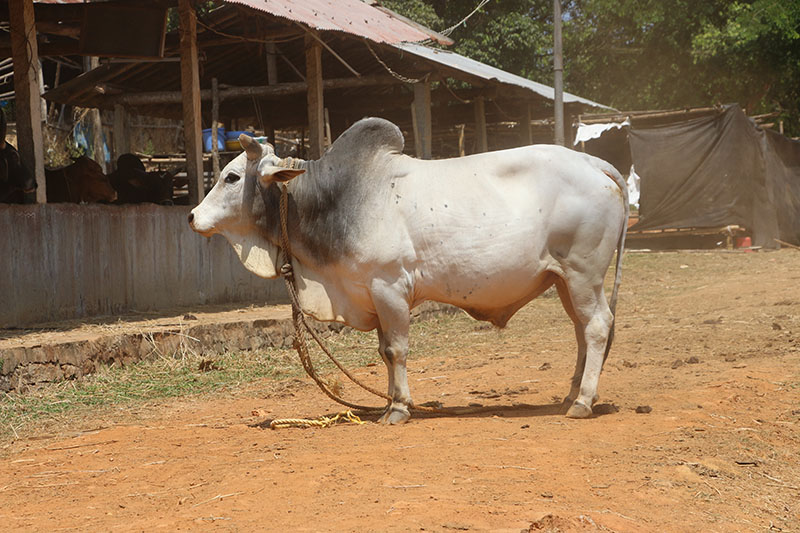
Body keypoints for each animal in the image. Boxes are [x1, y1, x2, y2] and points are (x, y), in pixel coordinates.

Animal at [191, 117, 628, 424]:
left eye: (231, 176)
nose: (193, 216)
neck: (335, 198)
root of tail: (595, 162)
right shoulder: (371, 292)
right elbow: (383, 352)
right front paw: (389, 403)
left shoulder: (389, 287)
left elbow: (395, 350)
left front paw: (399, 408)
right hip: (564, 280)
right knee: (582, 331)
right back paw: (575, 393)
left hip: (583, 274)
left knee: (597, 326)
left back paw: (583, 401)